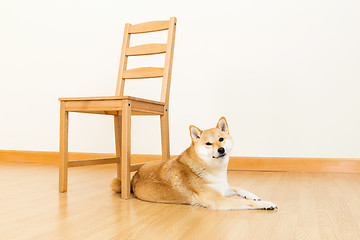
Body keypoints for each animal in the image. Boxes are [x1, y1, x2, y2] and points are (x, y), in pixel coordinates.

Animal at [112, 116, 278, 210]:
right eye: (208, 144)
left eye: (221, 139)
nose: (221, 149)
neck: (211, 169)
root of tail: (133, 178)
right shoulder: (218, 200)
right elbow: (248, 203)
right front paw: (265, 203)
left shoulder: (223, 188)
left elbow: (239, 188)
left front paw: (253, 195)